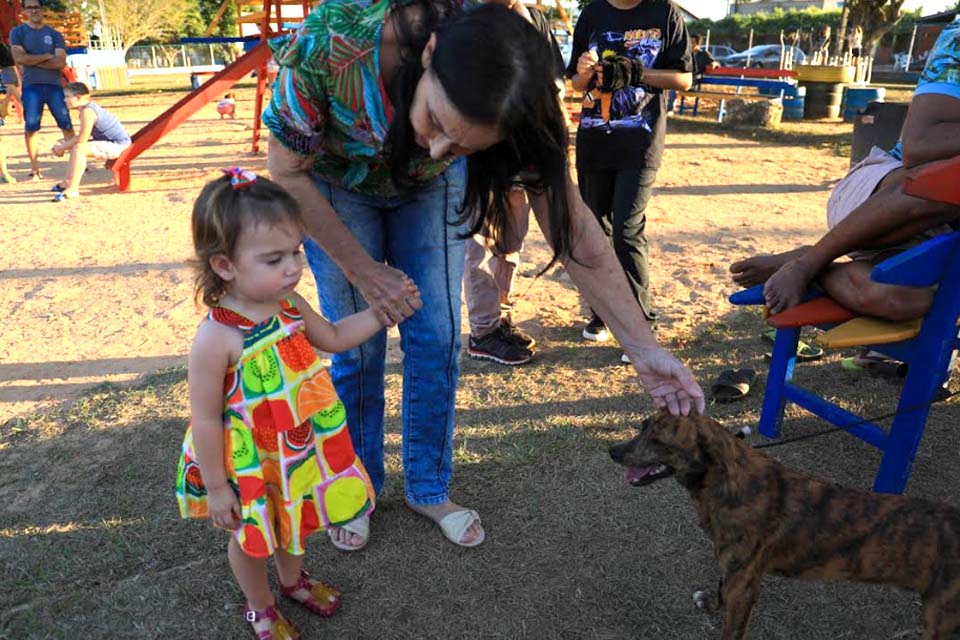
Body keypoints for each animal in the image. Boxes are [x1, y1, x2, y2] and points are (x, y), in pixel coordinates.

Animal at [608, 412, 960, 636]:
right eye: (643, 426)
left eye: (659, 441)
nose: (612, 450)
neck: (726, 483)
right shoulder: (734, 573)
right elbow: (719, 588)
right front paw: (708, 603)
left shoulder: (743, 587)